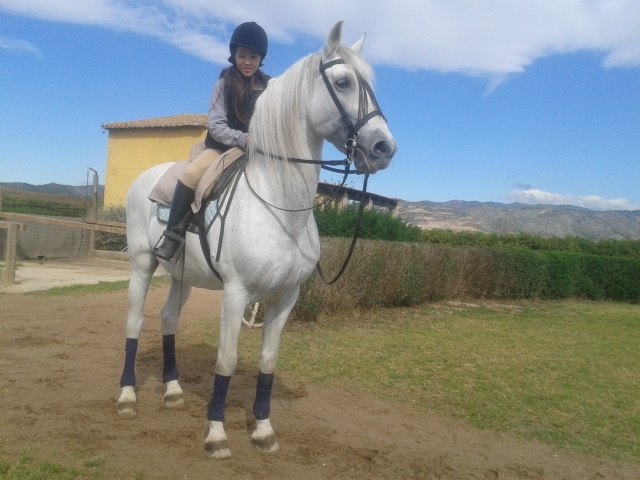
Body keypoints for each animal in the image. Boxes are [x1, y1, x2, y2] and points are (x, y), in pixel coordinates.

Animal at [117, 20, 396, 459]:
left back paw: (173, 390)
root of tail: (147, 176)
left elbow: (267, 360)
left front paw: (263, 429)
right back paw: (127, 397)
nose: (384, 147)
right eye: (344, 82)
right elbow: (227, 361)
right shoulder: (236, 294)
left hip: (181, 276)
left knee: (167, 319)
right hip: (142, 266)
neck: (279, 207)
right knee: (134, 322)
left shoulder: (284, 298)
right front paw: (216, 434)